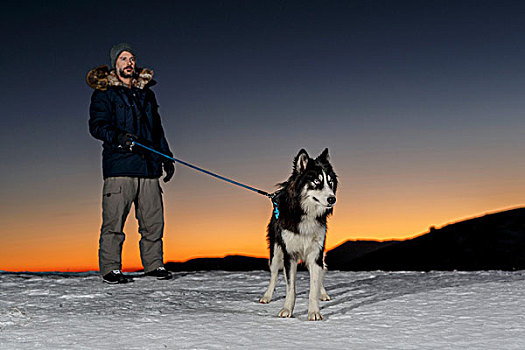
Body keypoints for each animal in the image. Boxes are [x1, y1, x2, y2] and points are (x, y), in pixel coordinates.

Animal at [260, 148, 338, 320]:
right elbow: (291, 288)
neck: (305, 212)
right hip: (276, 253)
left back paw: (323, 293)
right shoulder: (290, 254)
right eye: (316, 181)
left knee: (321, 271)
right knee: (274, 274)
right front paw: (287, 310)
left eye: (330, 182)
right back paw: (267, 296)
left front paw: (314, 312)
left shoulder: (315, 253)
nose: (332, 199)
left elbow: (313, 287)